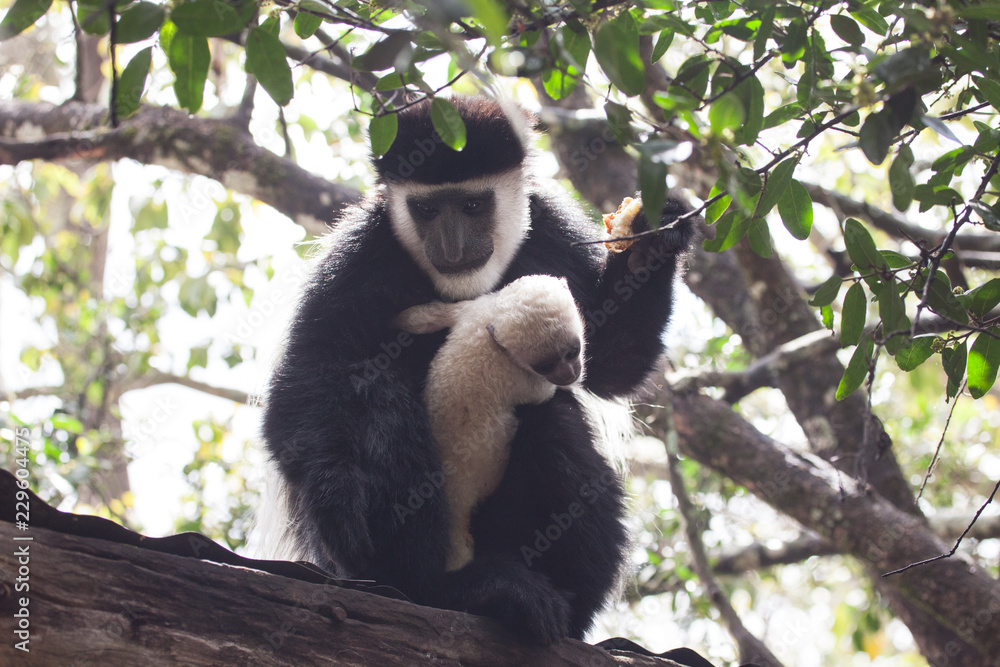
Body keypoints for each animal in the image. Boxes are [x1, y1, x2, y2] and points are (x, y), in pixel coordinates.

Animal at [394, 274, 585, 572]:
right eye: (546, 366)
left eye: (572, 352)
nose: (570, 373)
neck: (493, 334)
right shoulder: (518, 377)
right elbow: (542, 394)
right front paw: (564, 388)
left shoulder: (474, 307)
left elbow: (428, 316)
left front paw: (404, 320)